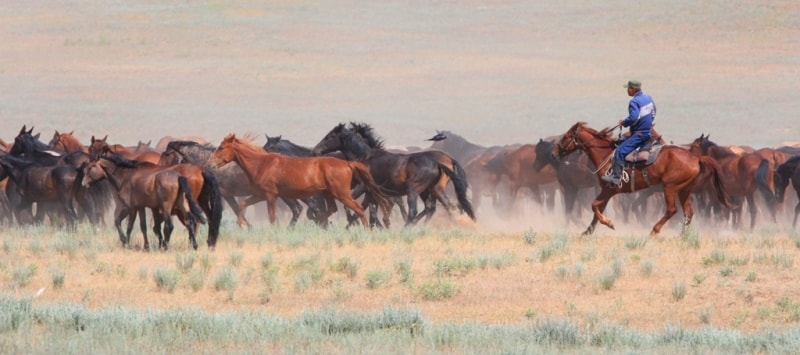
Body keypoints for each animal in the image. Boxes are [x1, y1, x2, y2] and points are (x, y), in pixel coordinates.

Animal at [209, 134, 390, 228]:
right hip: (329, 194)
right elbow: (242, 205)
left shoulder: (271, 195)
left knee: (358, 208)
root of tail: (348, 163)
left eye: (222, 147)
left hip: (342, 194)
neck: (262, 164)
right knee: (331, 209)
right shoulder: (261, 195)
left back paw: (365, 229)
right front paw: (242, 224)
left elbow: (272, 216)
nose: (211, 163)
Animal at [312, 122, 476, 225]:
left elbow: (362, 206)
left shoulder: (366, 188)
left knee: (417, 210)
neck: (365, 157)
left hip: (414, 190)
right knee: (442, 207)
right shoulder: (373, 191)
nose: (315, 150)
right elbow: (370, 209)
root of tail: (442, 162)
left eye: (329, 136)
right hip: (431, 190)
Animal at [552, 121, 736, 236]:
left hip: (670, 188)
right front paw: (587, 232)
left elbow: (594, 206)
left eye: (567, 136)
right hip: (684, 189)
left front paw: (609, 223)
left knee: (672, 210)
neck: (606, 154)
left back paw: (654, 231)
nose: (554, 152)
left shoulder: (609, 190)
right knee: (688, 213)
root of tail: (695, 157)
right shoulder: (606, 191)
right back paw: (682, 235)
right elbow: (597, 209)